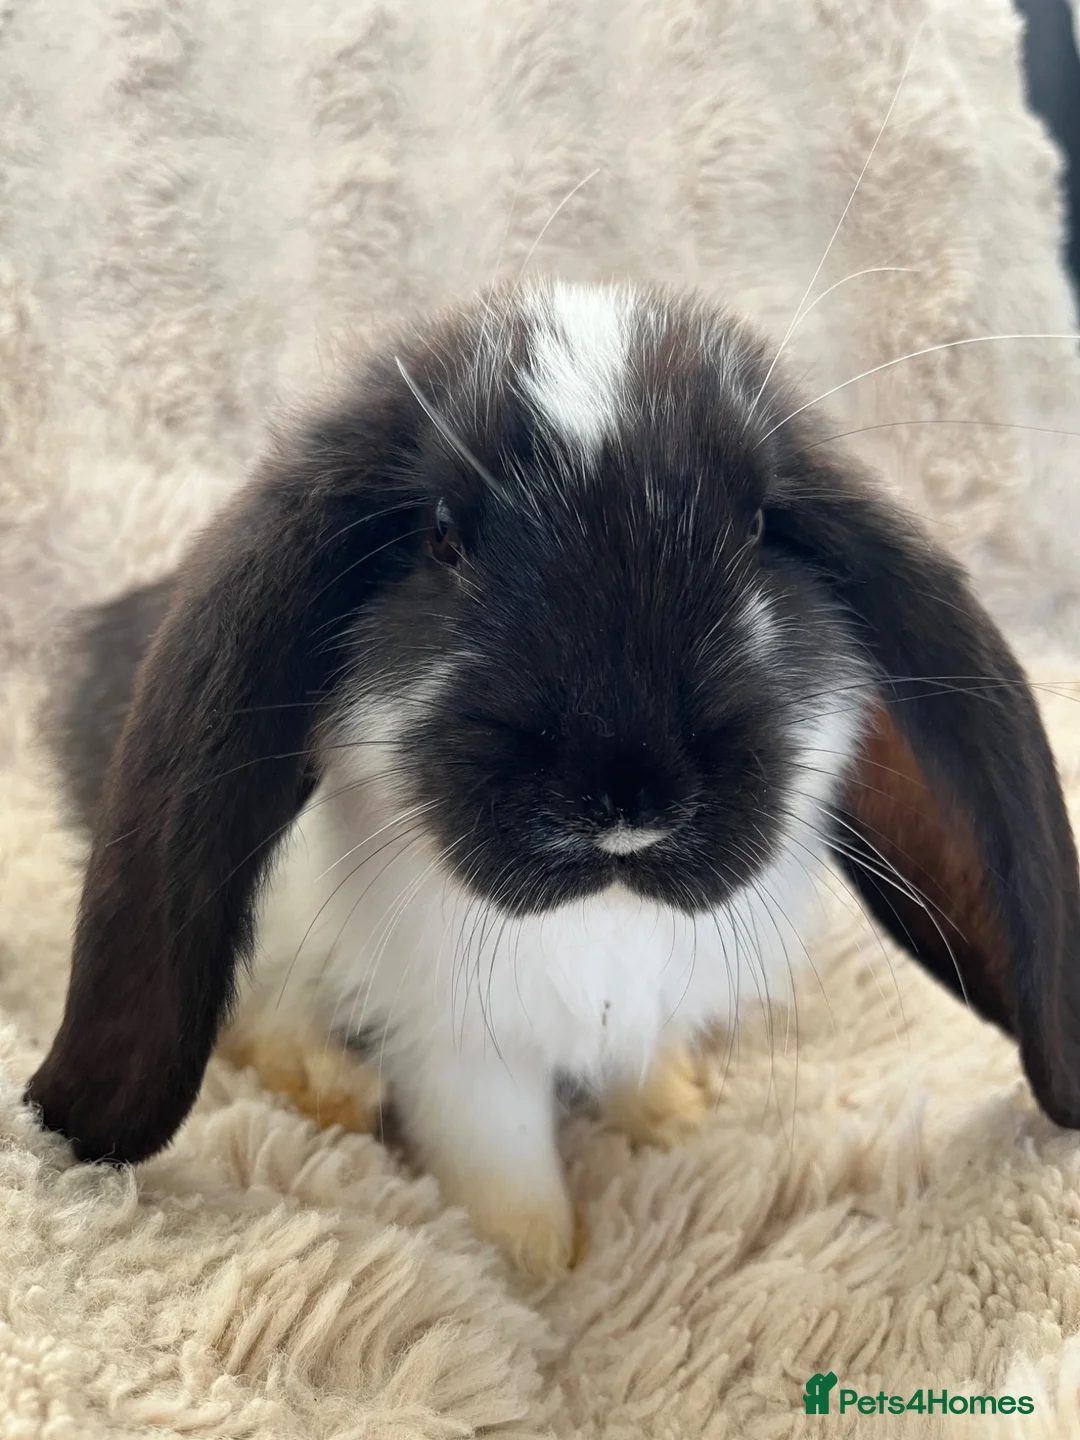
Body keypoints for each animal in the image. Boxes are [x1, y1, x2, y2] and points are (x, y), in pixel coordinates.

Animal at [27, 279, 1080, 1278]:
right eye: (441, 536)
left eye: (757, 526)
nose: (627, 799)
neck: (604, 914)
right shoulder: (458, 1045)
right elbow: (500, 1153)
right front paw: (535, 1265)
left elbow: (633, 1065)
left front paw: (673, 1113)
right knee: (255, 1017)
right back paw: (333, 1091)